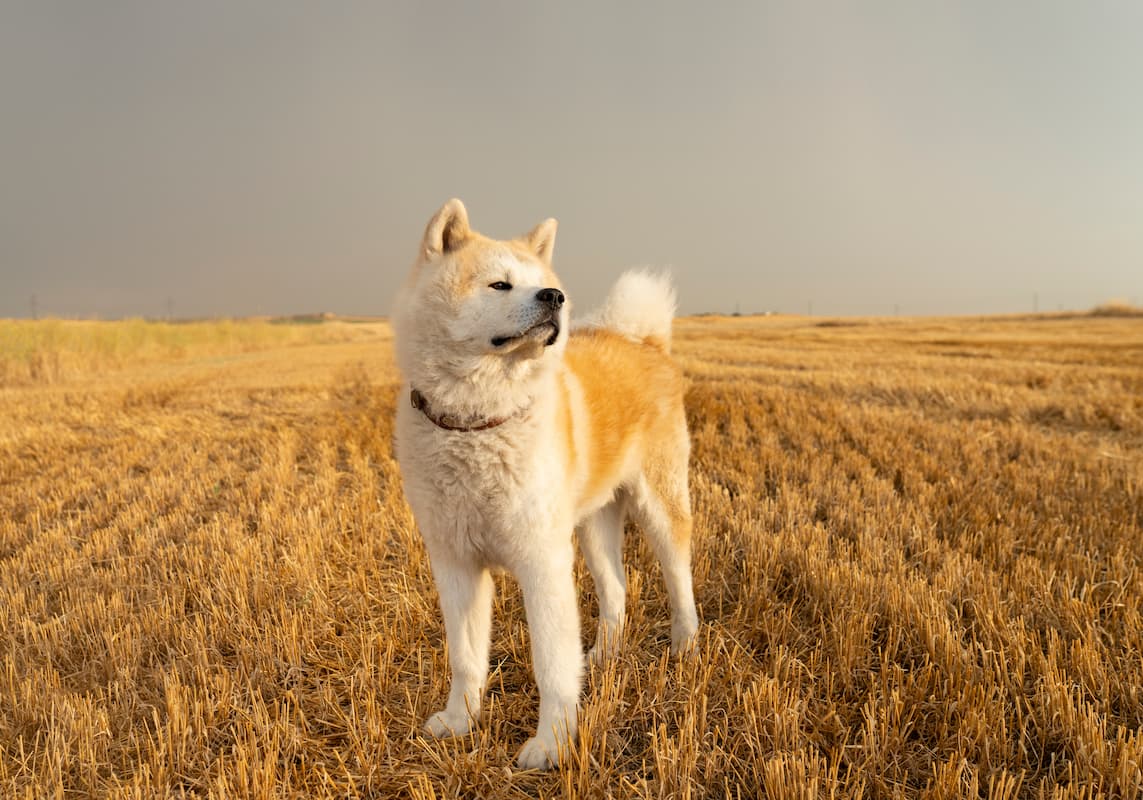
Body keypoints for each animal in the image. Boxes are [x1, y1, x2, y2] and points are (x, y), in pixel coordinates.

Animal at [390, 198, 694, 768]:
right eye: (499, 285)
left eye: (543, 285)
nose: (555, 298)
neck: (478, 423)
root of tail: (643, 341)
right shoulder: (456, 564)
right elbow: (465, 657)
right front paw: (460, 721)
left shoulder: (541, 561)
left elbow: (550, 664)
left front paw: (551, 744)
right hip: (593, 527)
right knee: (616, 590)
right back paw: (602, 656)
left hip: (659, 507)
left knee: (678, 576)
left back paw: (686, 645)